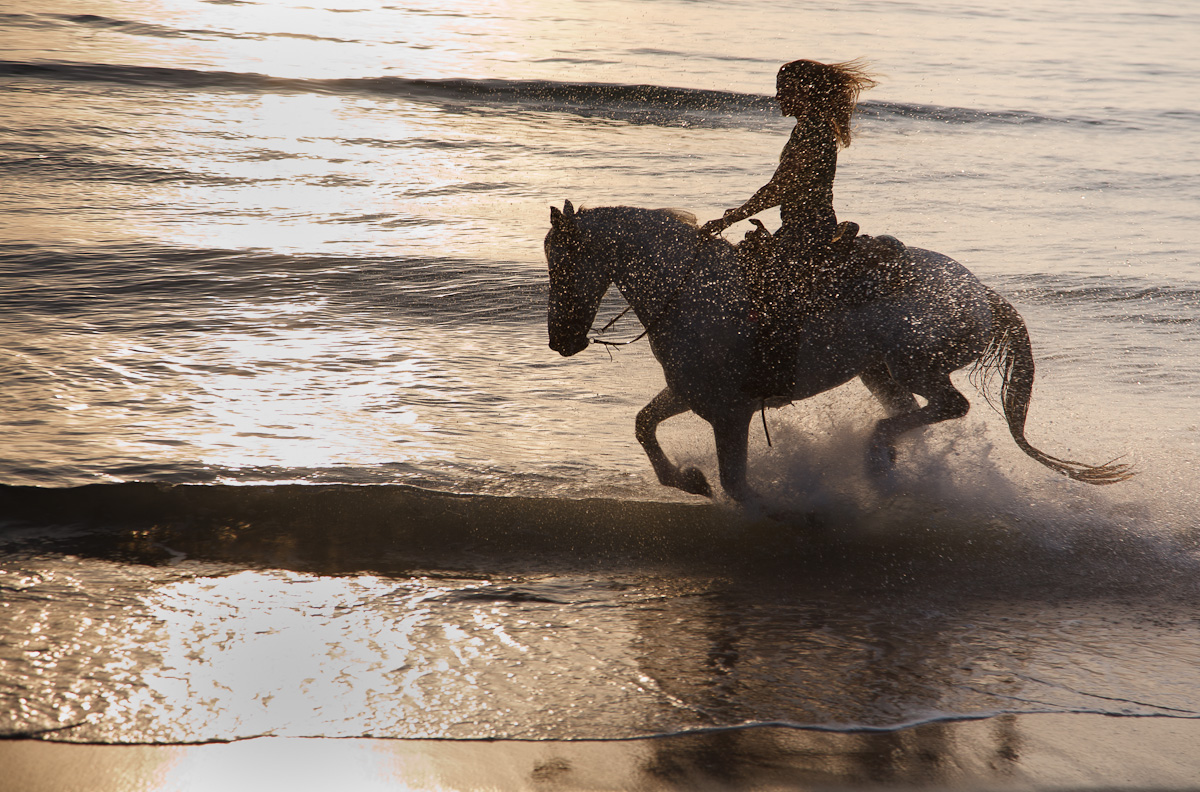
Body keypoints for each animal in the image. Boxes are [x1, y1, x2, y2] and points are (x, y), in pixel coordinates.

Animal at [544, 200, 1131, 502]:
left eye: (564, 258)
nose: (561, 340)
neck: (692, 291)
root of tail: (982, 294)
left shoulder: (730, 412)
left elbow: (738, 483)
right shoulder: (693, 395)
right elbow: (644, 424)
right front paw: (687, 479)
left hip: (915, 364)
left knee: (947, 406)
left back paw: (875, 460)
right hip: (878, 372)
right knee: (911, 412)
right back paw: (887, 467)